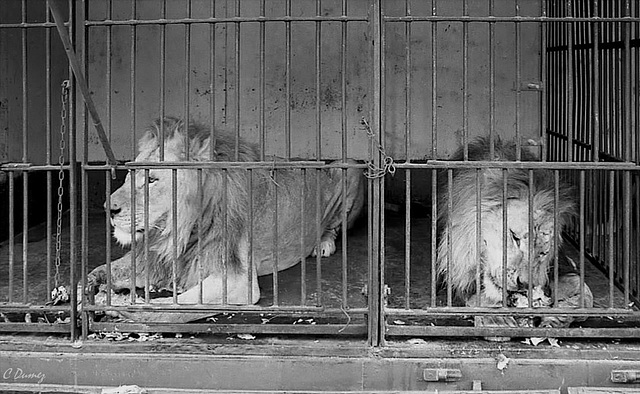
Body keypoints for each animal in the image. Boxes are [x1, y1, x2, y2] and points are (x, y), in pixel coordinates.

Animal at [85, 115, 364, 322]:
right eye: (129, 175)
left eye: (152, 179)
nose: (109, 208)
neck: (182, 229)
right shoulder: (157, 257)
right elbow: (103, 270)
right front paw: (86, 291)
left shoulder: (238, 279)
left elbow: (170, 307)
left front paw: (122, 306)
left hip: (351, 166)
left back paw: (323, 243)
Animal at [438, 135, 592, 332]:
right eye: (515, 237)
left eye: (543, 253)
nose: (523, 283)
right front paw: (495, 319)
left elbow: (583, 289)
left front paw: (560, 314)